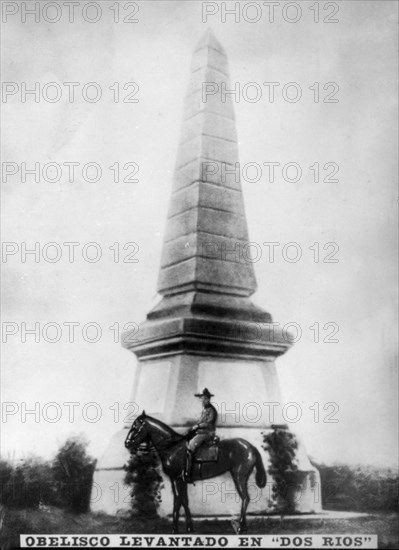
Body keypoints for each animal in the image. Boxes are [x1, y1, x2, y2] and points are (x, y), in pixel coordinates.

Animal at [124, 414, 268, 536]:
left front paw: (174, 529)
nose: (127, 443)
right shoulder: (180, 480)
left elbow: (177, 501)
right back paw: (244, 527)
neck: (172, 447)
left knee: (245, 498)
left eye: (135, 427)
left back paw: (240, 527)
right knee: (245, 499)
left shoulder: (176, 479)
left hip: (239, 477)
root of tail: (251, 447)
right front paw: (189, 527)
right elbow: (184, 501)